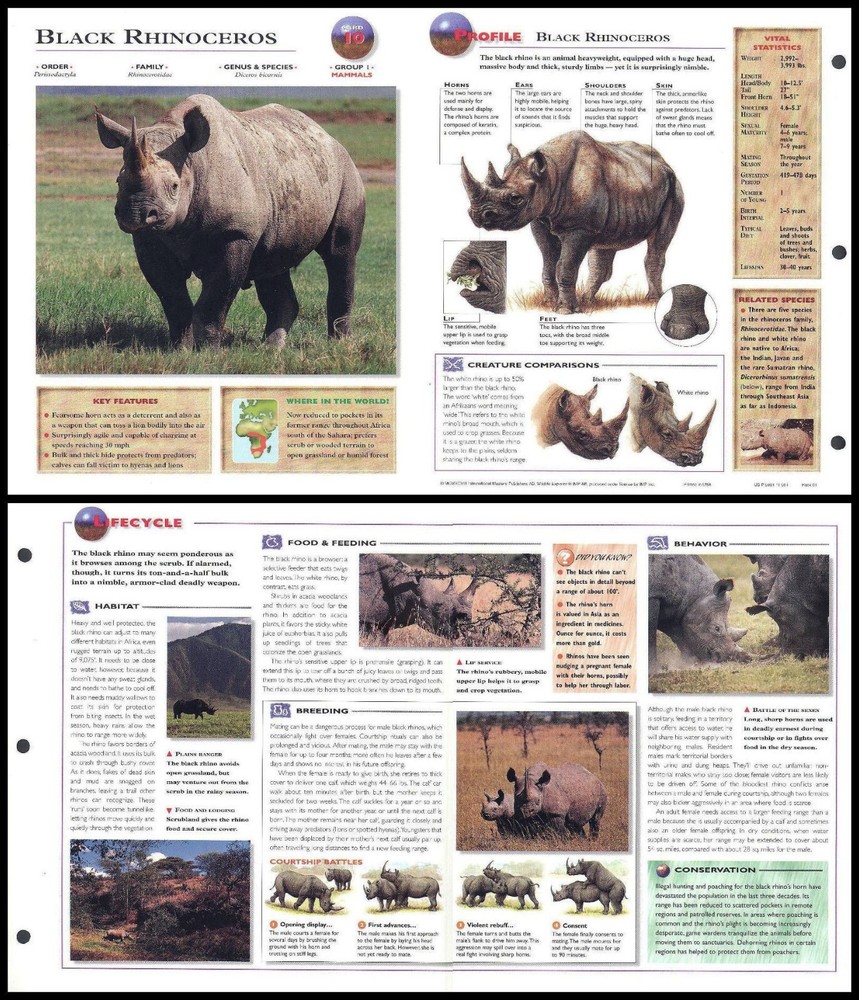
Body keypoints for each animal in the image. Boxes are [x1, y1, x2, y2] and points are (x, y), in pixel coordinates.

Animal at [95, 94, 365, 349]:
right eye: (118, 182)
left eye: (174, 186)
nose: (134, 214)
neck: (193, 163)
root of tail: (328, 137)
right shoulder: (150, 238)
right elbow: (173, 299)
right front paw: (180, 349)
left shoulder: (235, 233)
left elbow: (213, 302)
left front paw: (206, 352)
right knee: (272, 264)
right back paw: (271, 350)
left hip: (346, 173)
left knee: (339, 252)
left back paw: (338, 344)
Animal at [461, 131, 683, 314]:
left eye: (516, 198)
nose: (477, 216)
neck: (550, 174)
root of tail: (665, 163)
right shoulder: (540, 220)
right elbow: (549, 264)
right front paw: (548, 303)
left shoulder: (579, 228)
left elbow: (565, 267)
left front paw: (565, 310)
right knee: (604, 247)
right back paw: (587, 301)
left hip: (673, 188)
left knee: (658, 242)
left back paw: (651, 301)